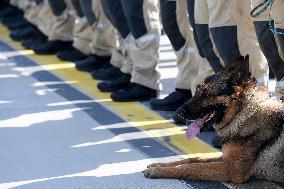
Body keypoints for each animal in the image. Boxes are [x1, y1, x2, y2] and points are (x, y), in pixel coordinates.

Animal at [144, 55, 284, 183]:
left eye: (207, 95)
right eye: (196, 91)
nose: (178, 112)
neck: (244, 115)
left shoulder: (231, 169)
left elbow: (192, 167)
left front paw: (159, 170)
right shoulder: (225, 158)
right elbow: (195, 159)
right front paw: (160, 165)